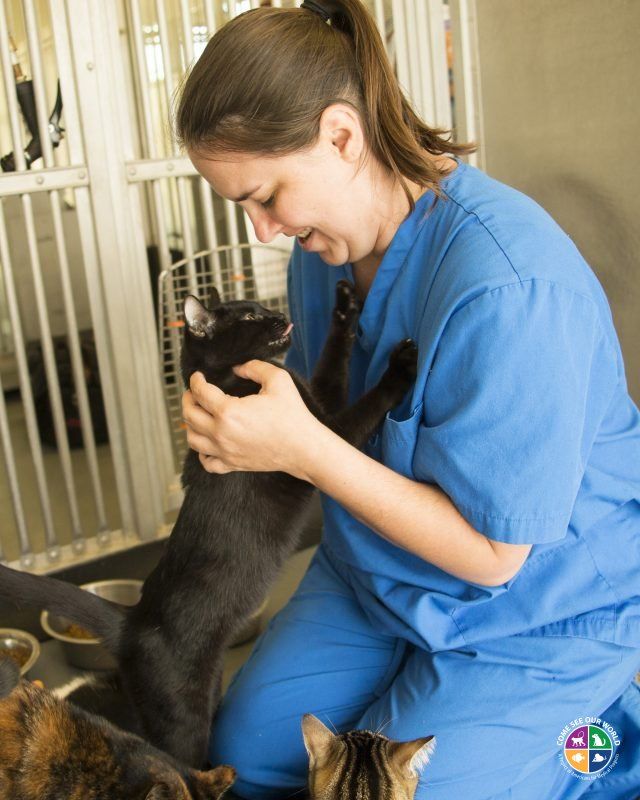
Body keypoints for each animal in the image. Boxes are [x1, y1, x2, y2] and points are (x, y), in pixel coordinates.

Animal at [0, 279, 417, 769]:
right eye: (250, 317)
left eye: (259, 307)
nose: (278, 313)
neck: (240, 381)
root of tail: (134, 619)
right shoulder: (318, 439)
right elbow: (365, 408)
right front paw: (401, 368)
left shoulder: (311, 404)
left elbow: (333, 363)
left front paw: (346, 305)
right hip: (183, 716)